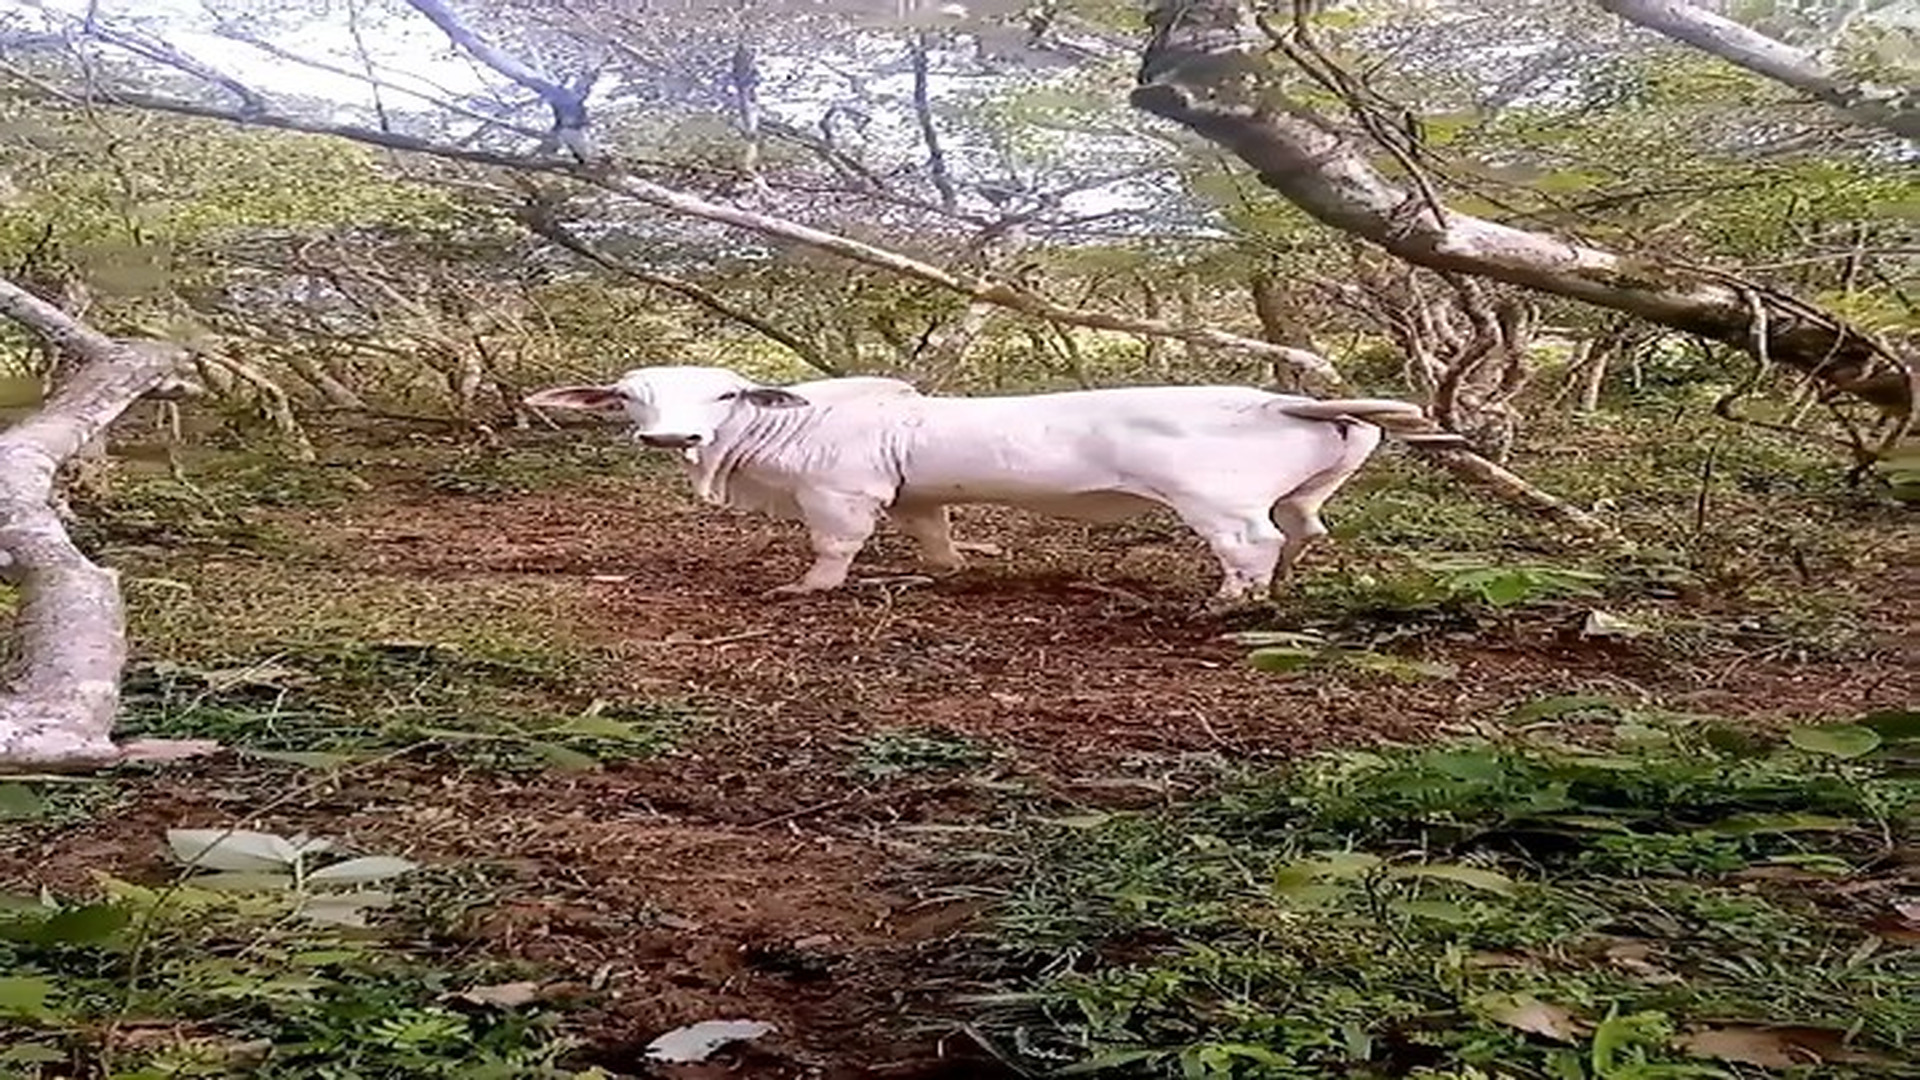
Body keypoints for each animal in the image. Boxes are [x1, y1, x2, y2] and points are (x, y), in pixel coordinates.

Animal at [524, 365, 1461, 608]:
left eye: (722, 395)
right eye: (631, 396)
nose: (669, 436)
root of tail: (1280, 395)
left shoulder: (842, 498)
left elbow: (833, 550)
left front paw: (807, 588)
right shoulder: (917, 498)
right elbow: (936, 538)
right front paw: (944, 574)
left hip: (1217, 504)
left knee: (1252, 544)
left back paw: (1230, 602)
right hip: (1303, 498)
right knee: (1300, 533)